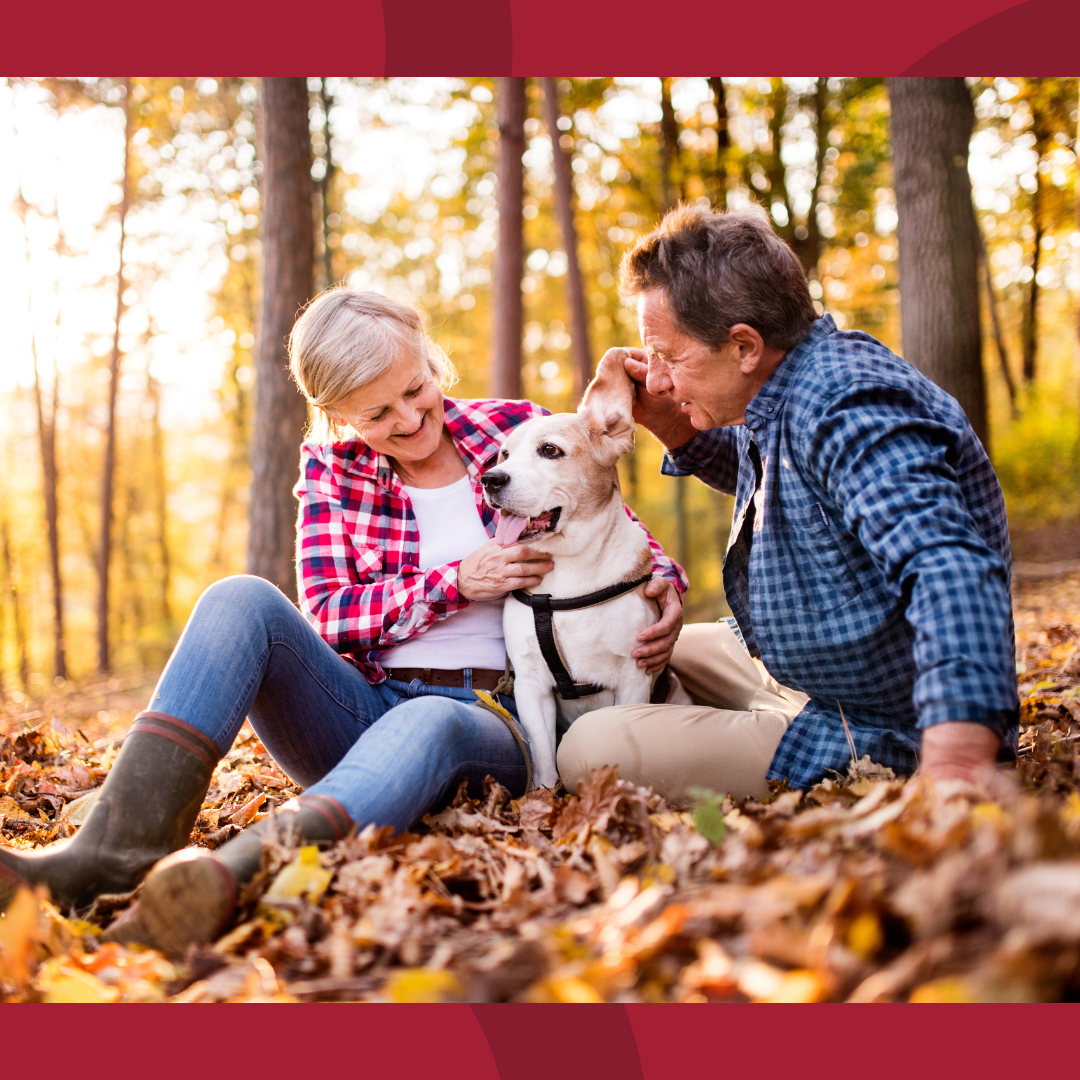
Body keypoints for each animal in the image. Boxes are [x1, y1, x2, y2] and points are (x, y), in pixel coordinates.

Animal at [479, 352, 682, 786]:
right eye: (504, 454)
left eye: (550, 450)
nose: (490, 479)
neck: (569, 570)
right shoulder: (530, 685)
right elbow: (543, 759)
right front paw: (543, 796)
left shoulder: (634, 678)